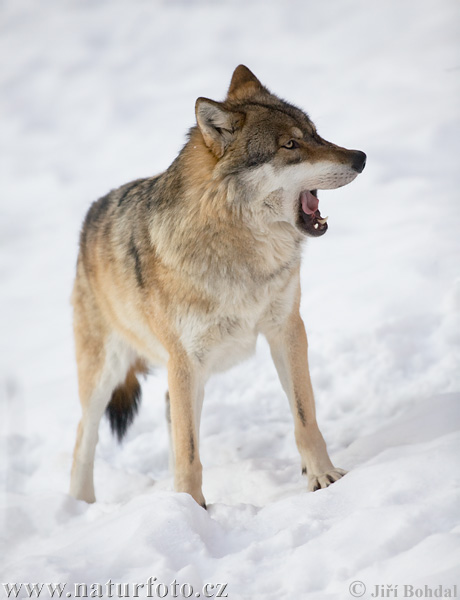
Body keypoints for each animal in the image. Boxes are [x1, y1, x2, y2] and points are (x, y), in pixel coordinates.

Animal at [69, 64, 366, 506]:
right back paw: (79, 507)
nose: (361, 158)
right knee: (83, 439)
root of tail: (90, 215)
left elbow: (304, 417)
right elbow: (189, 454)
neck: (239, 254)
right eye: (290, 145)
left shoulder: (287, 329)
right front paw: (190, 512)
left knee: (170, 413)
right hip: (108, 374)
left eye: (315, 133)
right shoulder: (184, 360)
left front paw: (322, 476)